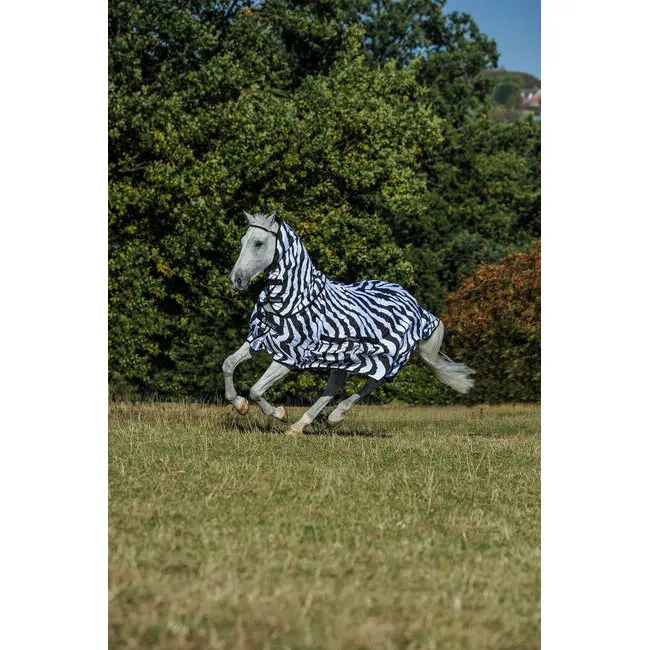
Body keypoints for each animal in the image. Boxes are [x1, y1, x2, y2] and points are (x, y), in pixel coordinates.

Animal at [223, 211, 474, 435]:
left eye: (258, 243)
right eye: (243, 241)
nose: (236, 280)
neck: (293, 299)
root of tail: (417, 307)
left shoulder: (290, 355)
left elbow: (256, 390)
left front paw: (279, 413)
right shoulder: (261, 339)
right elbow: (228, 364)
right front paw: (240, 405)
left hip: (384, 358)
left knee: (371, 384)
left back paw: (333, 417)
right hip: (341, 358)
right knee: (333, 388)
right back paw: (300, 426)